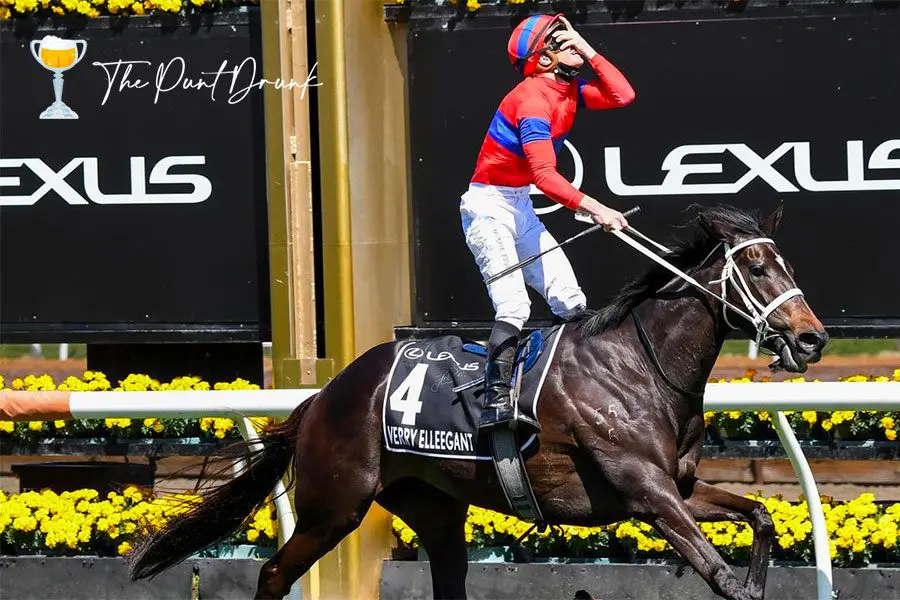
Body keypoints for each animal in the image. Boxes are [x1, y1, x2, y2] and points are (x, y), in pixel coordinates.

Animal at [125, 204, 828, 596]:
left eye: (789, 267)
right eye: (758, 269)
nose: (812, 338)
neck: (637, 366)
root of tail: (323, 395)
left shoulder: (676, 487)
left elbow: (761, 517)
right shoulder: (645, 493)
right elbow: (722, 577)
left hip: (431, 505)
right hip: (336, 504)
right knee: (274, 574)